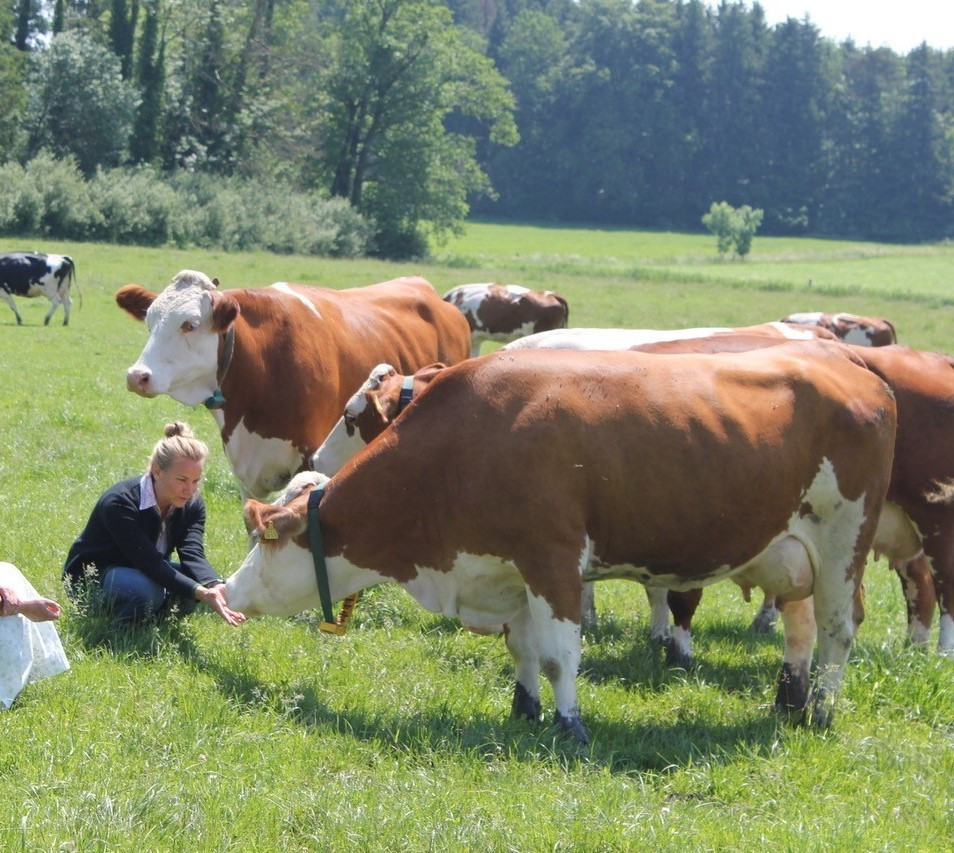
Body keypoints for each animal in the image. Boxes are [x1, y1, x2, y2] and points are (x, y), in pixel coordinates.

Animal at [227, 344, 896, 740]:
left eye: (264, 541)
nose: (226, 591)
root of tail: (851, 365)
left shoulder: (551, 561)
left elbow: (557, 655)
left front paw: (569, 726)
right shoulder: (507, 570)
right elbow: (522, 650)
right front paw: (523, 712)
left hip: (843, 547)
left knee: (838, 629)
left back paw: (821, 711)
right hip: (792, 551)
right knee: (800, 627)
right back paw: (788, 700)